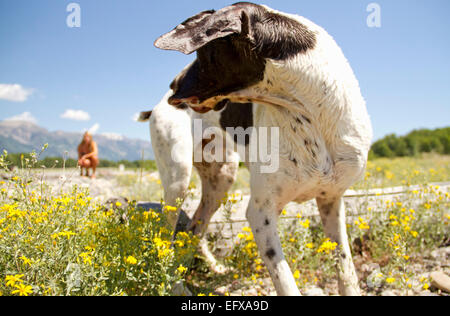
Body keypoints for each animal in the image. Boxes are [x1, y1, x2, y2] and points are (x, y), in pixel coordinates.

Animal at [155, 1, 372, 296]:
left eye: (203, 53)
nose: (172, 85)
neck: (311, 117)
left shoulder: (332, 201)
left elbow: (346, 269)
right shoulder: (261, 214)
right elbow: (287, 282)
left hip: (220, 180)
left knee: (194, 228)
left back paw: (213, 268)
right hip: (177, 182)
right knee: (167, 239)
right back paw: (177, 286)